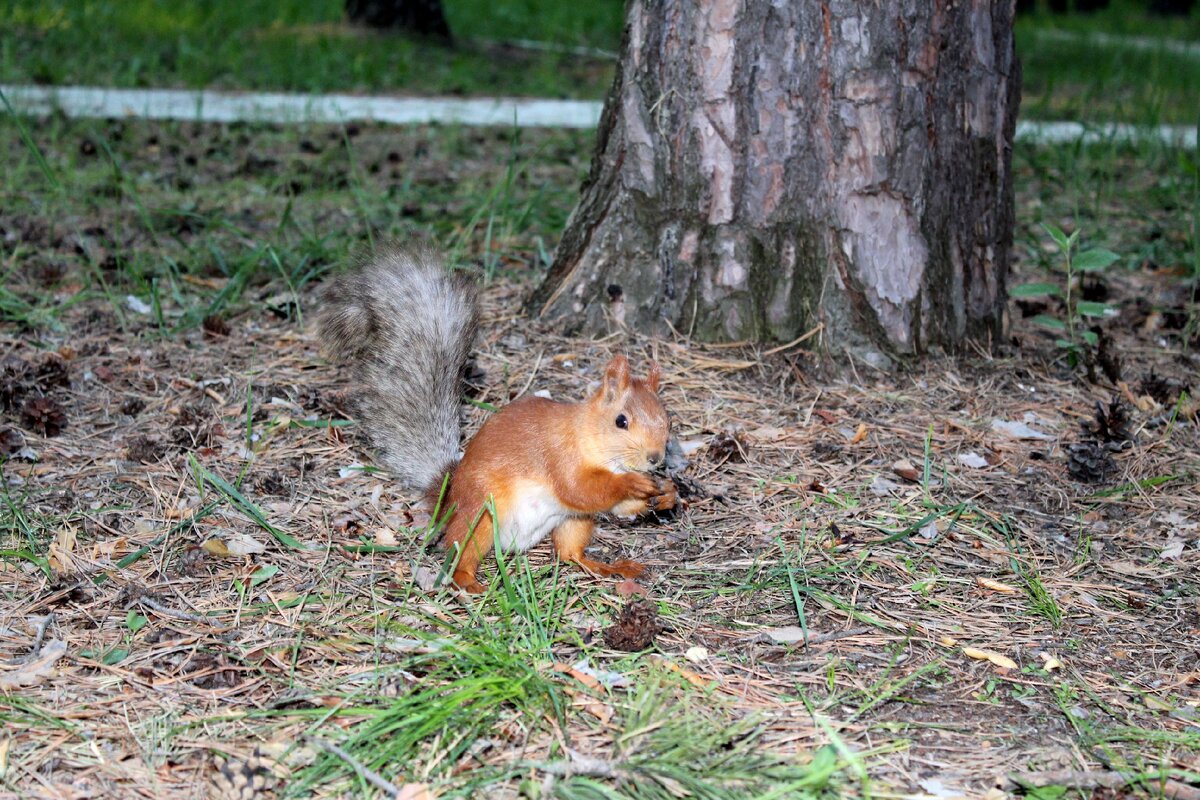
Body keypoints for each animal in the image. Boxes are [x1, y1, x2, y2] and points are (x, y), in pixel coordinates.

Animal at [316, 245, 676, 594]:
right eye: (621, 421)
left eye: (667, 420)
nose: (655, 459)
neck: (593, 440)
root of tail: (450, 496)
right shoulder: (559, 455)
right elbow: (580, 489)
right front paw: (634, 484)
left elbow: (618, 508)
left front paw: (666, 494)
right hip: (482, 512)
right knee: (462, 548)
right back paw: (467, 581)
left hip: (574, 522)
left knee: (569, 554)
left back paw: (608, 567)